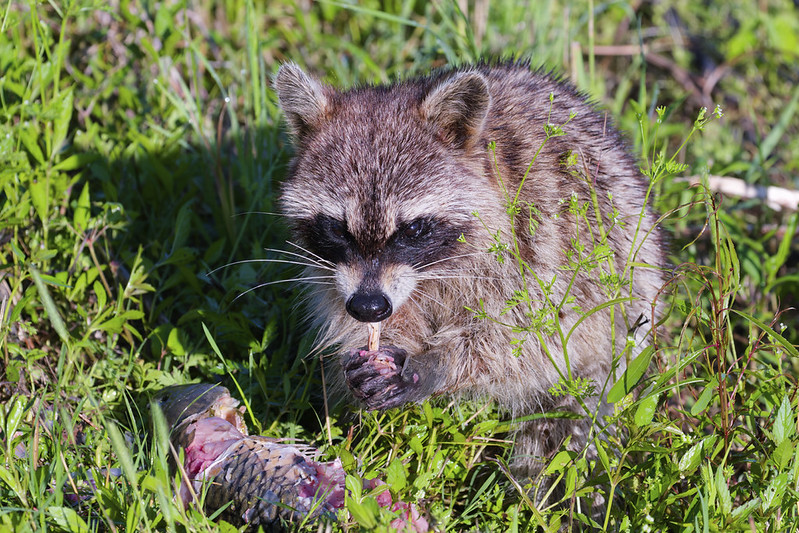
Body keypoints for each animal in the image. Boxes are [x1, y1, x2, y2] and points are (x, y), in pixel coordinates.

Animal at [274, 61, 665, 482]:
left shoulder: (534, 240)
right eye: (336, 228)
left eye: (414, 229)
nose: (369, 308)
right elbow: (347, 314)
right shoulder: (336, 276)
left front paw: (436, 363)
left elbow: (529, 334)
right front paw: (368, 346)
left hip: (626, 275)